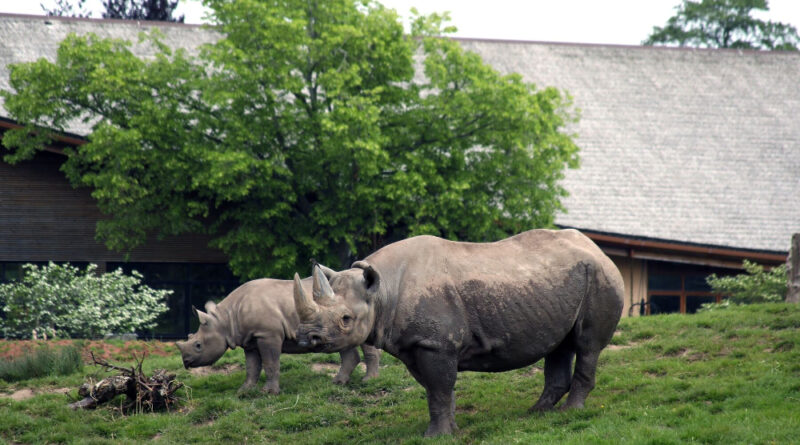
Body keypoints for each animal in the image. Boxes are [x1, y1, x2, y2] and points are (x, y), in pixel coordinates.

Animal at [175, 277, 380, 394]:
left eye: (198, 345)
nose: (186, 362)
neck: (225, 319)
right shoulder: (250, 339)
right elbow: (252, 366)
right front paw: (244, 391)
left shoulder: (268, 334)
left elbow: (270, 362)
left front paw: (269, 393)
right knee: (343, 342)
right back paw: (338, 383)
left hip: (359, 311)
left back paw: (368, 381)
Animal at [292, 229, 624, 436]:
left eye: (346, 319)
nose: (310, 338)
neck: (382, 290)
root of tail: (597, 248)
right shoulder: (417, 344)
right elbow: (437, 390)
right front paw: (450, 430)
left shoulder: (435, 344)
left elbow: (439, 389)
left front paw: (434, 436)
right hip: (565, 281)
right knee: (560, 345)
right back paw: (536, 413)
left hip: (600, 276)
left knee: (587, 345)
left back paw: (570, 412)